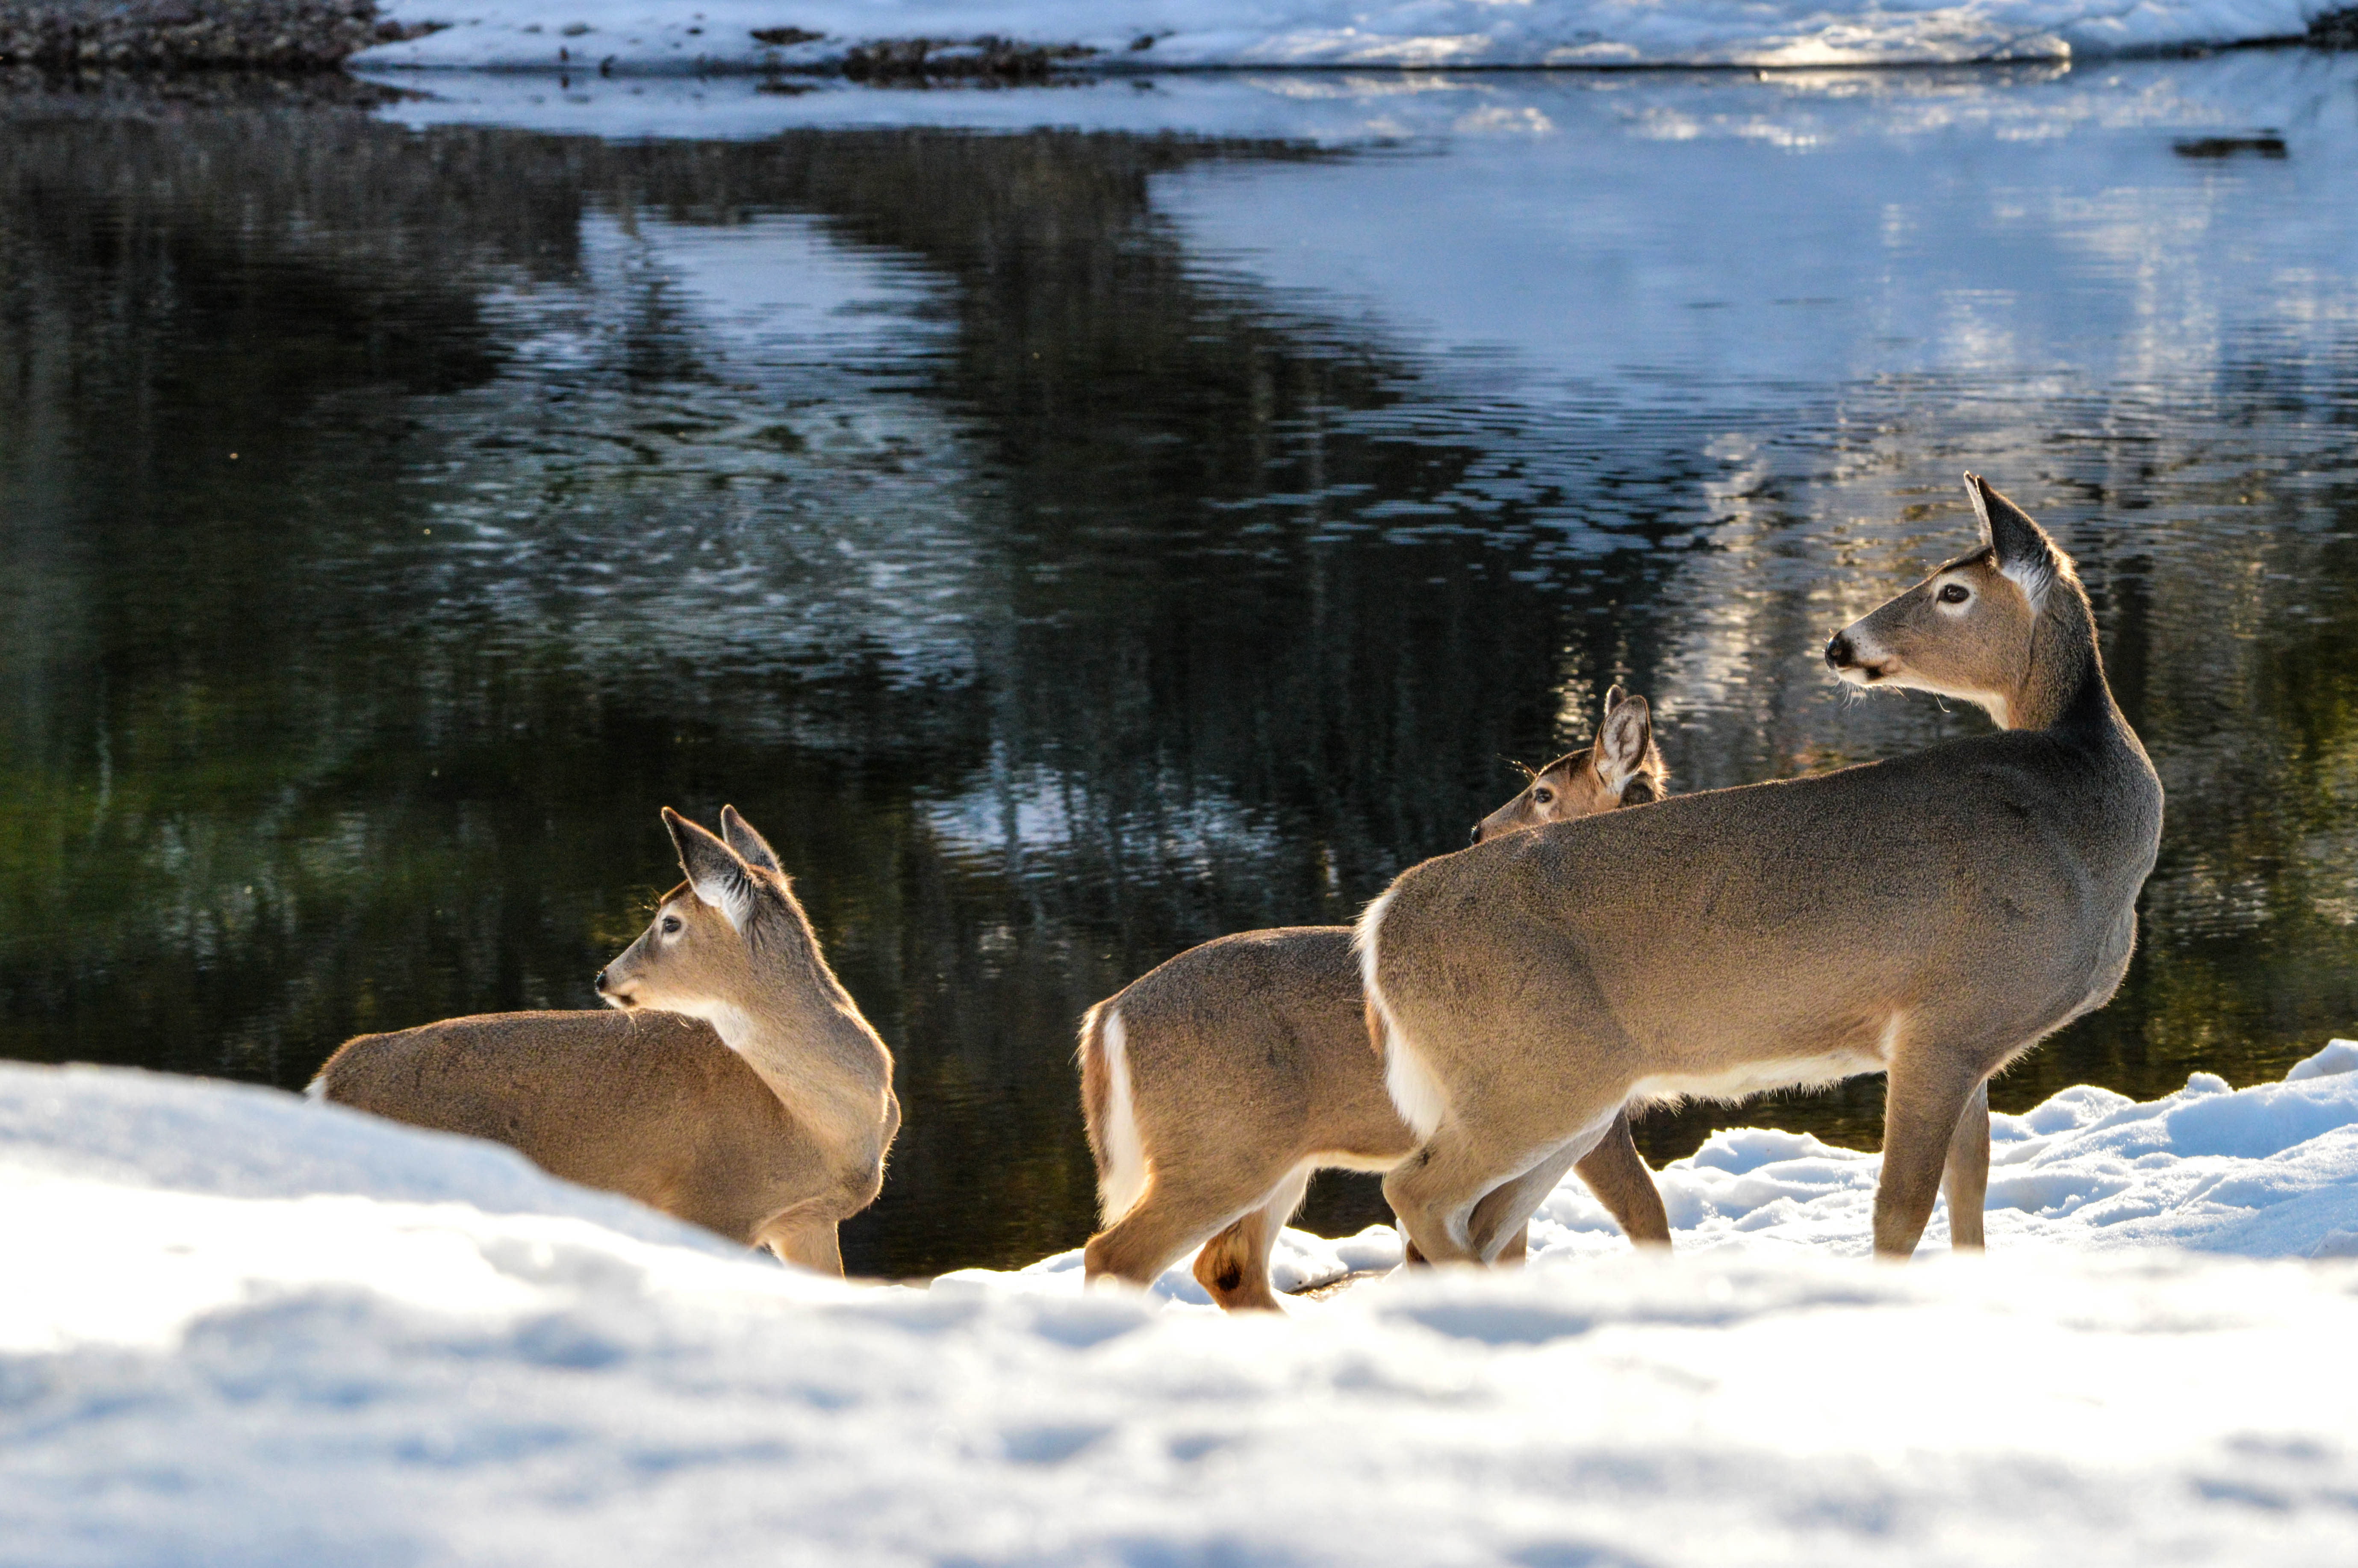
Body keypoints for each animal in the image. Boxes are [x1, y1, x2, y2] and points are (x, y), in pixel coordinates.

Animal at [309, 806, 896, 1273]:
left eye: (670, 923)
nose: (604, 976)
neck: (819, 1126)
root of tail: (332, 1077)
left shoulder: (806, 1221)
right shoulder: (708, 1206)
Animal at [1085, 688, 1679, 1311]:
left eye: (1543, 793)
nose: (1477, 831)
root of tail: (1107, 1016)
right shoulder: (1585, 1102)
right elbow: (1645, 1213)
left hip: (1273, 1159)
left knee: (1226, 1264)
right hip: (1220, 1146)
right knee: (1118, 1254)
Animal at [1368, 474, 2160, 1264]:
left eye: (1953, 590)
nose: (1840, 644)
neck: (2085, 820)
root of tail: (1379, 926)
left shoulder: (1968, 1043)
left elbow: (1970, 1193)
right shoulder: (1945, 1023)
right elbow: (1900, 1211)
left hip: (1553, 1092)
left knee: (1476, 1220)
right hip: (1537, 1073)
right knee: (1415, 1190)